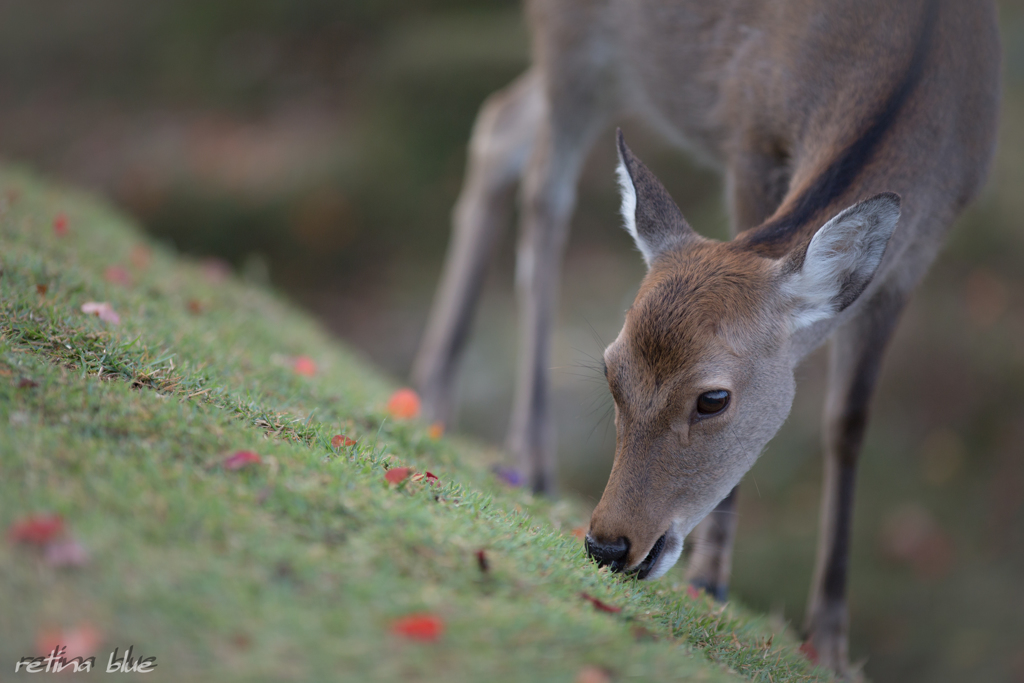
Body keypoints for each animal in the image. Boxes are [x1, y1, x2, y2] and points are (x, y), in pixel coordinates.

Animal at [409, 0, 999, 671]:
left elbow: (849, 425)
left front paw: (830, 643)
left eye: (713, 399)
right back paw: (529, 459)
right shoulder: (751, 139)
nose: (608, 546)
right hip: (571, 36)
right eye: (610, 371)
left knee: (502, 123)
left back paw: (432, 396)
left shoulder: (915, 258)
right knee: (544, 191)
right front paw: (711, 577)